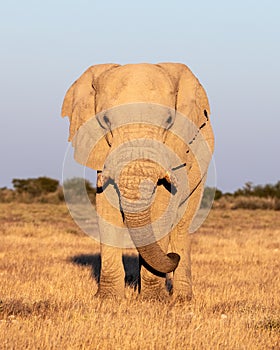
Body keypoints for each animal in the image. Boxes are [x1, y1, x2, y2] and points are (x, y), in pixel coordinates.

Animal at [61, 61, 214, 300]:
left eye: (169, 120)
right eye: (105, 120)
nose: (172, 256)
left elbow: (162, 207)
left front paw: (153, 301)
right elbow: (105, 207)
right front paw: (107, 300)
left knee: (182, 226)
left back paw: (182, 299)